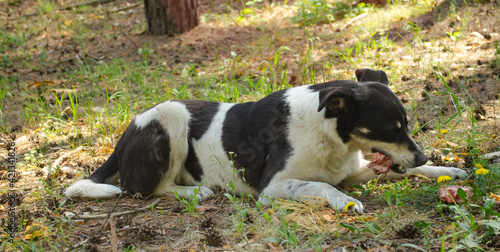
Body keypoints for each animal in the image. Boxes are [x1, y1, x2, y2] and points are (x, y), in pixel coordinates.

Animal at [64, 69, 466, 213]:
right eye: (390, 130)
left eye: (406, 126)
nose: (420, 155)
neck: (328, 131)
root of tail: (123, 138)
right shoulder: (273, 187)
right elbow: (321, 187)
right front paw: (345, 202)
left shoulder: (353, 170)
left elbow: (402, 172)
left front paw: (445, 170)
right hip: (171, 117)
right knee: (143, 189)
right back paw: (195, 192)